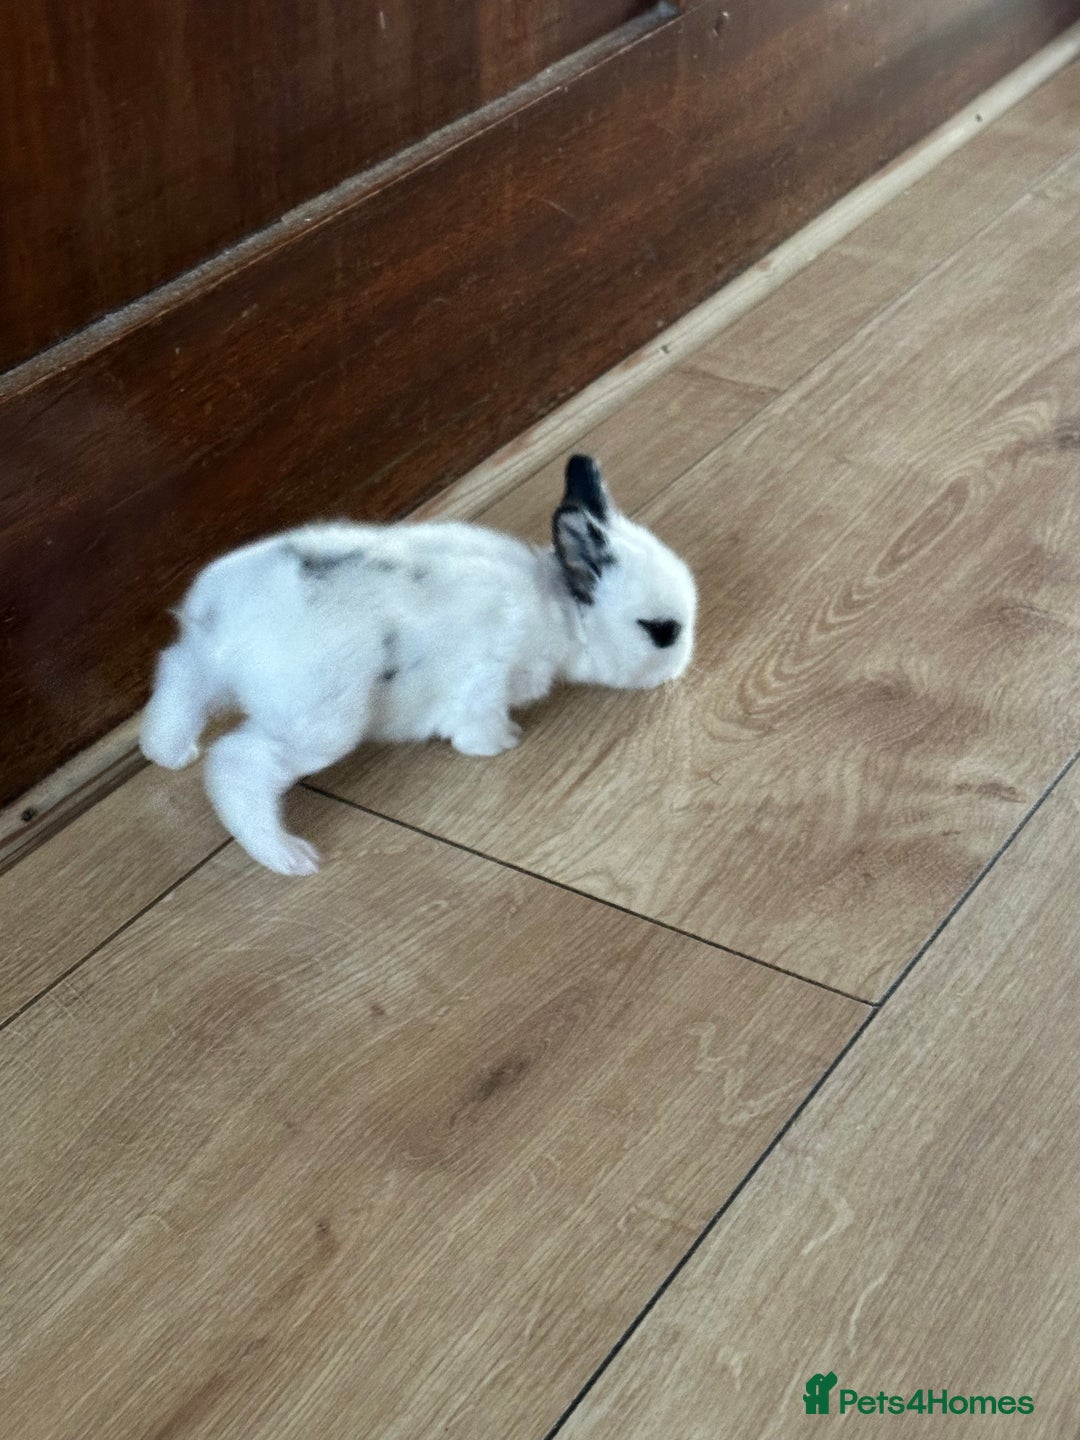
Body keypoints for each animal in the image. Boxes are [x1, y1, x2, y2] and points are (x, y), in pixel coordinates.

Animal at [140, 454, 697, 875]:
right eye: (661, 630)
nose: (679, 671)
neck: (556, 609)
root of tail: (222, 617)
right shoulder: (487, 679)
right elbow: (479, 725)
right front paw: (502, 744)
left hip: (199, 668)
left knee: (175, 686)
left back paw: (172, 754)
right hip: (320, 721)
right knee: (236, 764)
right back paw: (289, 857)